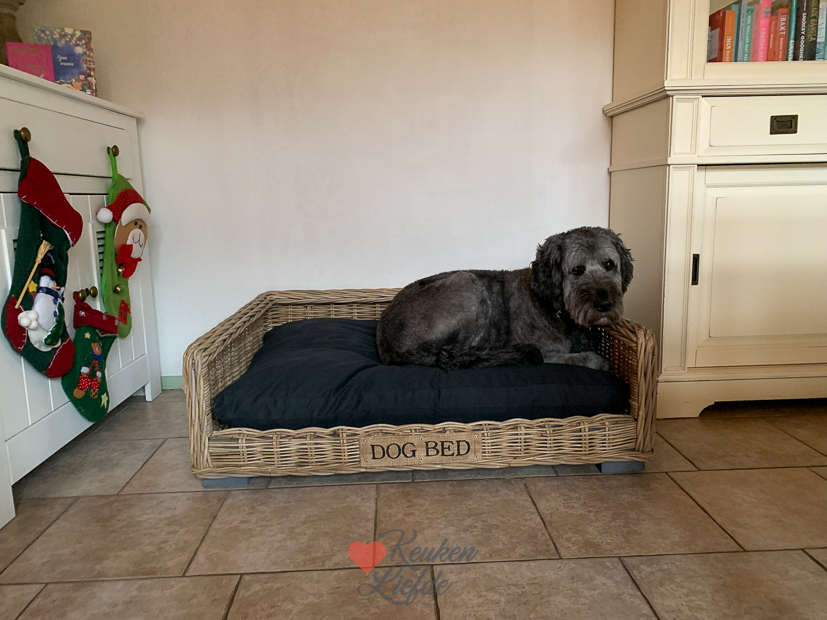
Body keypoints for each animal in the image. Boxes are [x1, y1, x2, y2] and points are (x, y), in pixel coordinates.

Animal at [376, 226, 633, 372]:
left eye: (609, 265)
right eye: (577, 270)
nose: (605, 305)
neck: (557, 310)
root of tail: (387, 342)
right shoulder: (549, 353)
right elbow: (586, 359)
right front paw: (598, 361)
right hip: (468, 282)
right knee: (460, 355)